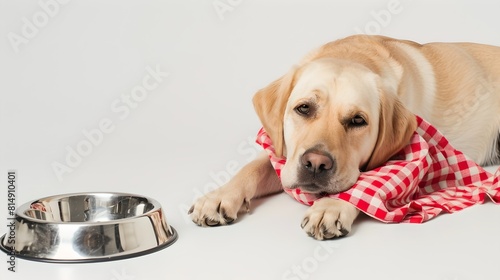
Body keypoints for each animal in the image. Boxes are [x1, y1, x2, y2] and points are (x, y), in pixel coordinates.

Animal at [188, 35, 500, 240]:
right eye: (304, 108)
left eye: (357, 121)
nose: (315, 164)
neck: (353, 55)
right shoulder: (285, 156)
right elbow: (253, 167)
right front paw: (219, 196)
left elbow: (367, 183)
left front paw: (331, 207)